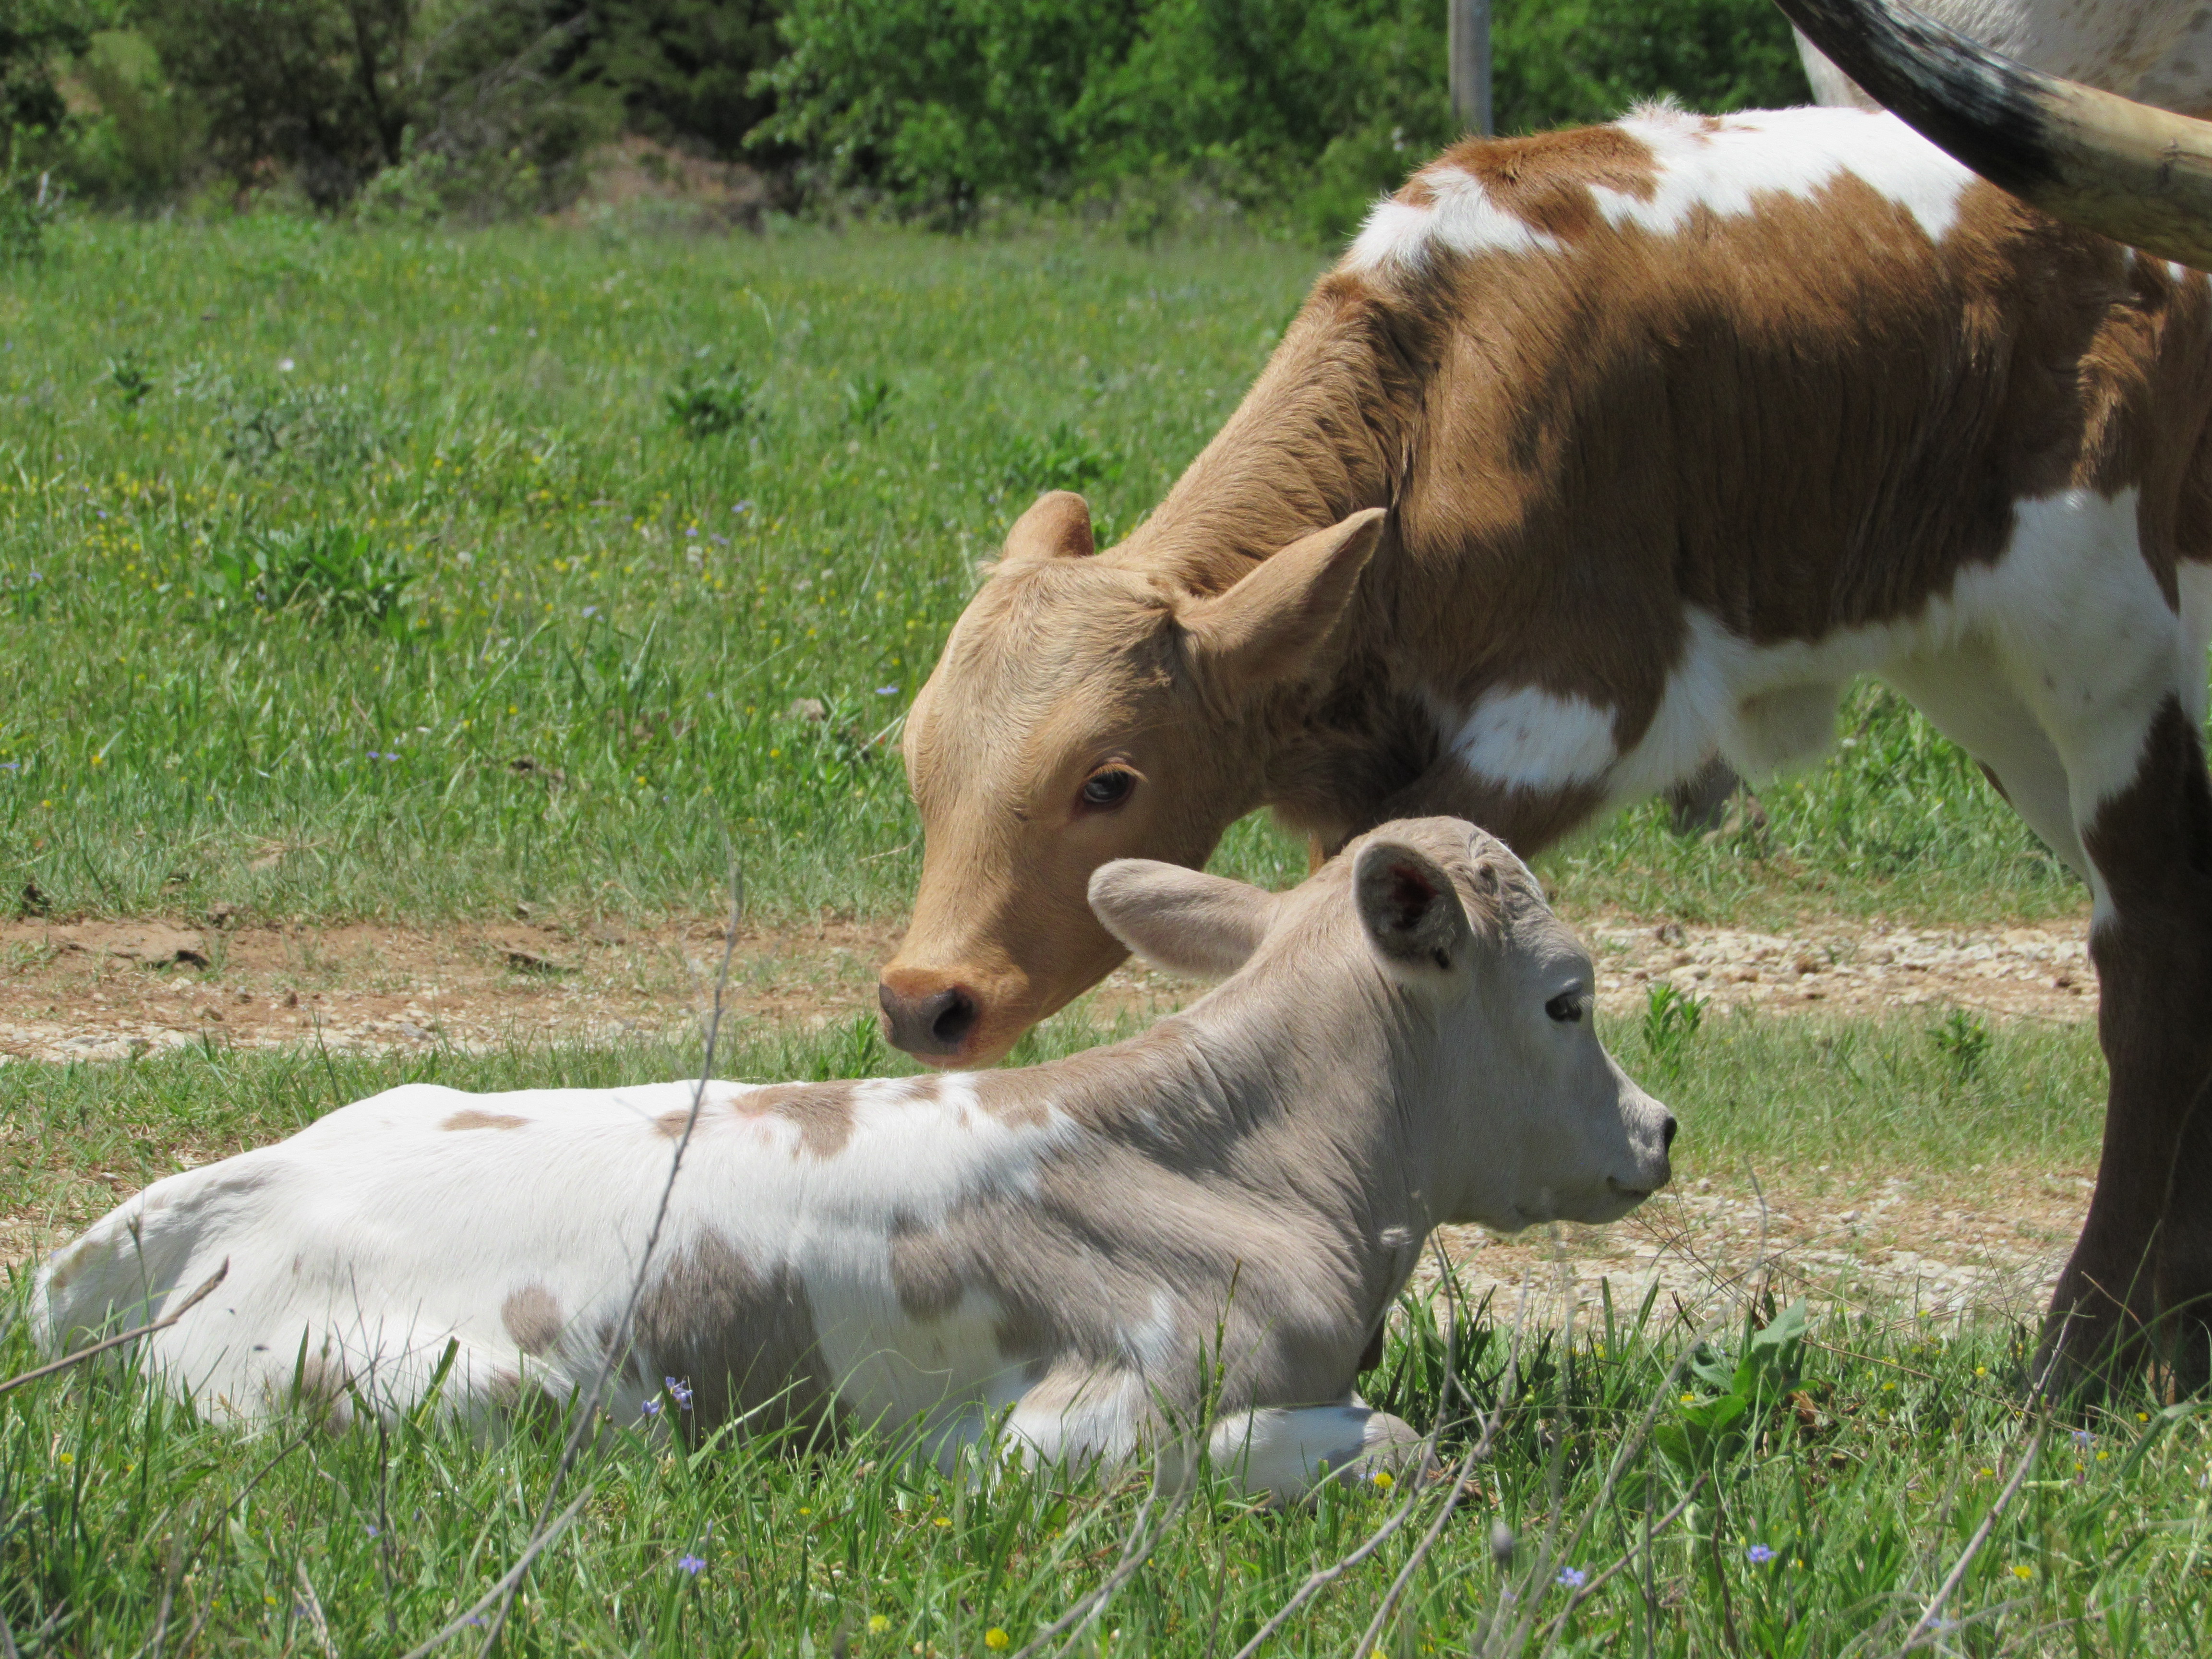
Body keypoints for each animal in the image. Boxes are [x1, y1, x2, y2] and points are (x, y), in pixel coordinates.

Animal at [35, 818, 1663, 1504]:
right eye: (1567, 999)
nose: (1659, 1131)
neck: (1232, 1169)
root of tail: (232, 1195)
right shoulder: (1071, 1434)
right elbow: (1395, 1444)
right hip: (535, 1403)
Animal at [885, 100, 2212, 1389]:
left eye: (1109, 780)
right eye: (919, 763)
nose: (923, 1001)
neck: (1442, 398)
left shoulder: (1572, 708)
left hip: (2106, 655)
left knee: (2156, 955)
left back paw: (2086, 1358)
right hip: (1994, 693)